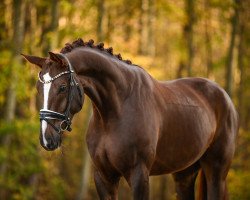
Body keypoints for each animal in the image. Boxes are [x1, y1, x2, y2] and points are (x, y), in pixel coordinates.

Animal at [23, 39, 238, 200]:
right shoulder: (104, 176)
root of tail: (224, 96)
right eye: (38, 88)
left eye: (61, 87)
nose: (46, 139)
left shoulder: (139, 175)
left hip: (216, 172)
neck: (115, 112)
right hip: (184, 173)